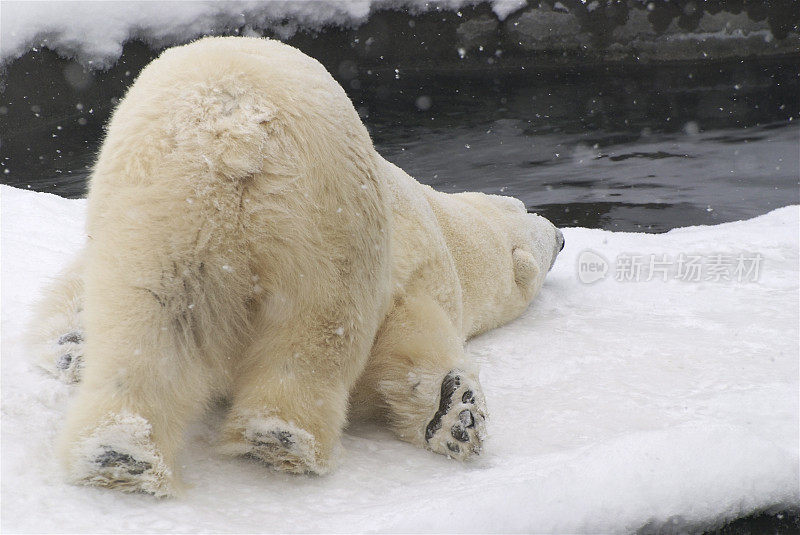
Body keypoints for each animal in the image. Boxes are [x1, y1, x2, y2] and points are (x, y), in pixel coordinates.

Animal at [28, 36, 564, 498]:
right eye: (526, 213)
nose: (560, 234)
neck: (446, 225)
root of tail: (236, 130)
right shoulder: (418, 254)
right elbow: (406, 339)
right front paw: (457, 414)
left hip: (156, 203)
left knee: (150, 314)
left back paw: (119, 453)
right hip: (328, 208)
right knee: (320, 322)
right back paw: (283, 438)